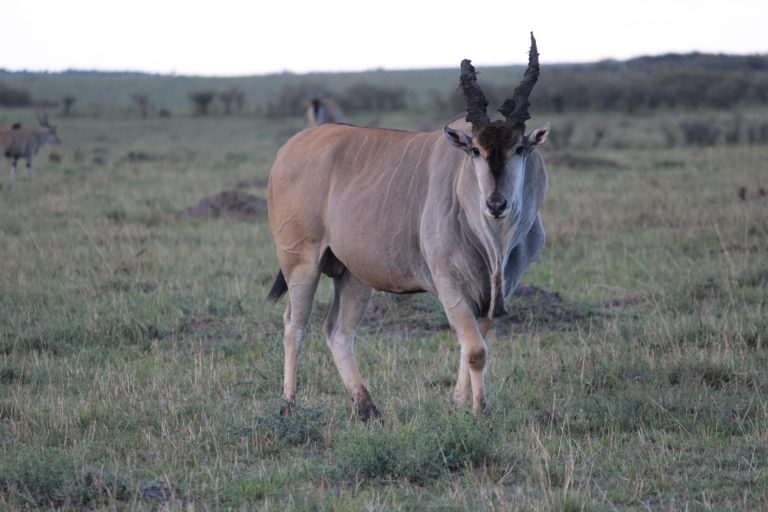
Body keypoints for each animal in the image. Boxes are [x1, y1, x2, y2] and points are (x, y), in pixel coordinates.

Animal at [268, 34, 548, 422]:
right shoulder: (449, 284)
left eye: (519, 148)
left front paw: (459, 404)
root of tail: (289, 148)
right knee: (294, 326)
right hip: (301, 261)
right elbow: (475, 350)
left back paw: (367, 407)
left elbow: (472, 345)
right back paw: (288, 406)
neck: (494, 242)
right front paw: (479, 410)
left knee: (337, 331)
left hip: (354, 275)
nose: (496, 204)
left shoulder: (495, 293)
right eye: (475, 150)